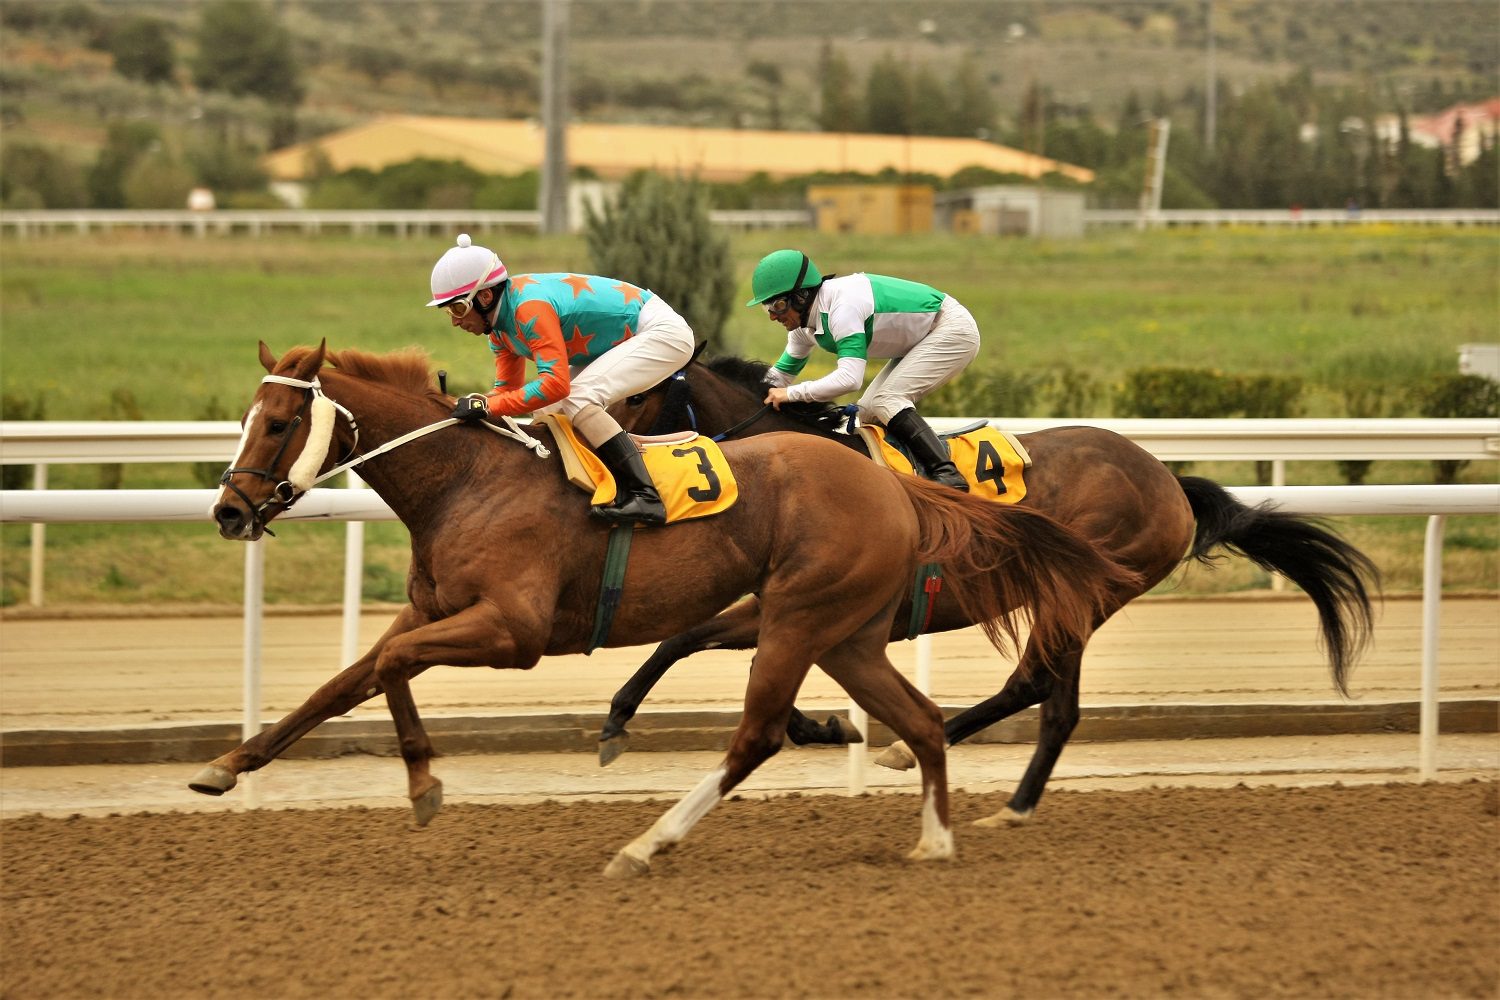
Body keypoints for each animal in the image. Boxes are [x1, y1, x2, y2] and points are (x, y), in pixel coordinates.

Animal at [202, 341, 1134, 875]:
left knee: (758, 735)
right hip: (847, 636)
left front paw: (426, 782)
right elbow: (348, 680)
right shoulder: (430, 613)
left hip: (797, 619)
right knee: (923, 719)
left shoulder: (513, 630)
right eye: (246, 417)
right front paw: (229, 765)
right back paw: (934, 840)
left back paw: (647, 844)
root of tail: (897, 487)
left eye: (279, 422)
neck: (467, 482)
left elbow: (390, 666)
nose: (229, 511)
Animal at [597, 355, 1380, 827]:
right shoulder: (787, 606)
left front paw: (825, 727)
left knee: (1042, 693)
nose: (607, 473)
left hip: (1080, 595)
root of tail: (1166, 478)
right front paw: (620, 718)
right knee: (1047, 697)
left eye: (637, 395)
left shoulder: (818, 607)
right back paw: (959, 773)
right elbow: (686, 639)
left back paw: (961, 773)